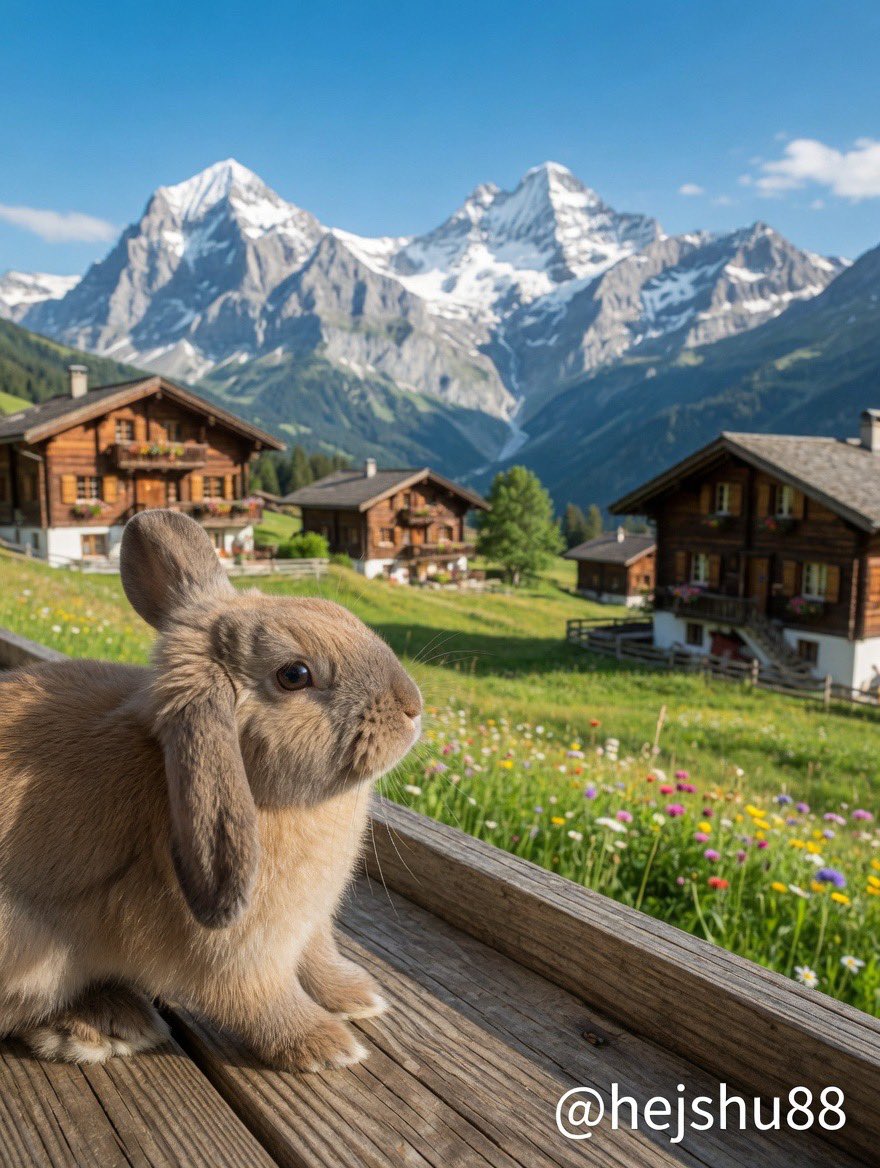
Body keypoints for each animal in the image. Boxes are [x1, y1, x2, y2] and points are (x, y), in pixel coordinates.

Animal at [0, 509, 422, 1071]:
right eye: (295, 674)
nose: (412, 706)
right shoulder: (240, 954)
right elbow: (261, 1000)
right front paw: (325, 1046)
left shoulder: (309, 927)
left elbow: (318, 960)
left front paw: (358, 996)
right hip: (31, 952)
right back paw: (103, 1028)